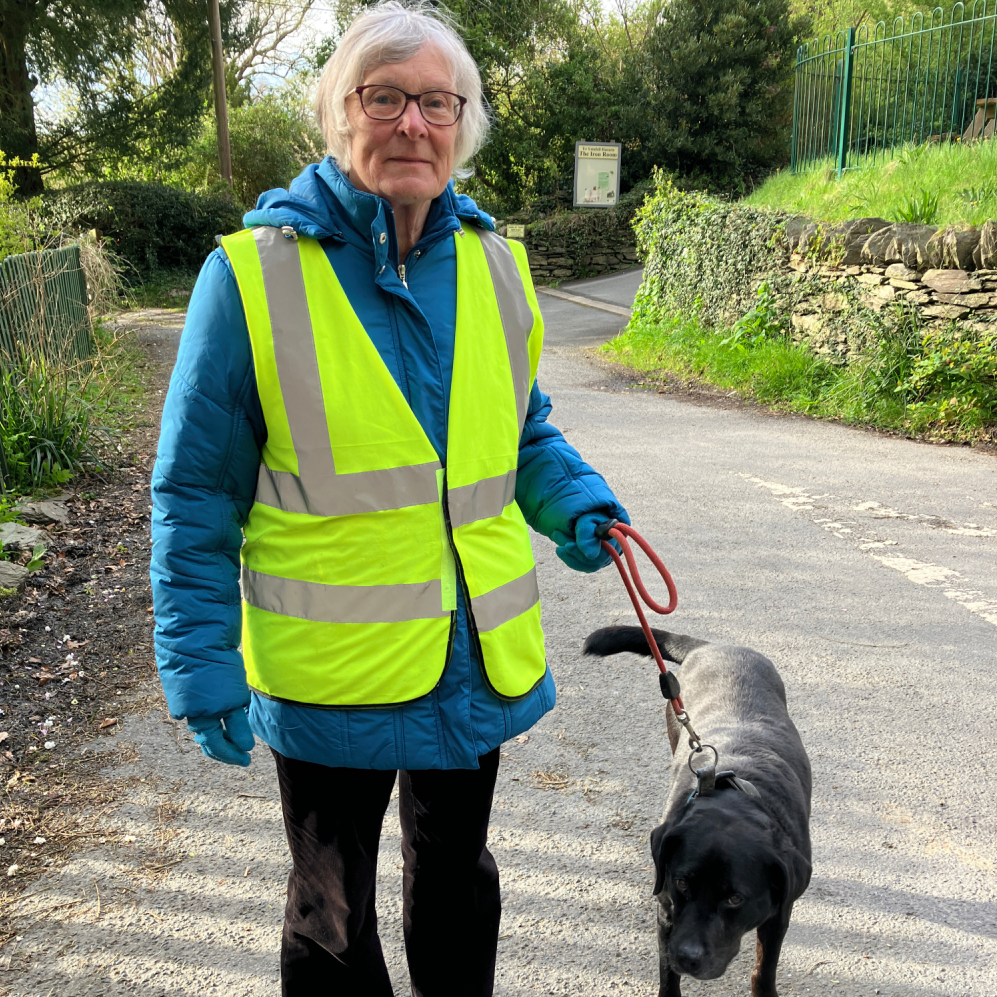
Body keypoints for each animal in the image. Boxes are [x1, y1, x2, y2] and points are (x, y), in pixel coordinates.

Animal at [584, 628, 808, 992]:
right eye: (682, 883)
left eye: (735, 899)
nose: (688, 957)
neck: (735, 796)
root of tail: (713, 646)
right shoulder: (666, 912)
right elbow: (668, 974)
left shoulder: (779, 914)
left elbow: (765, 967)